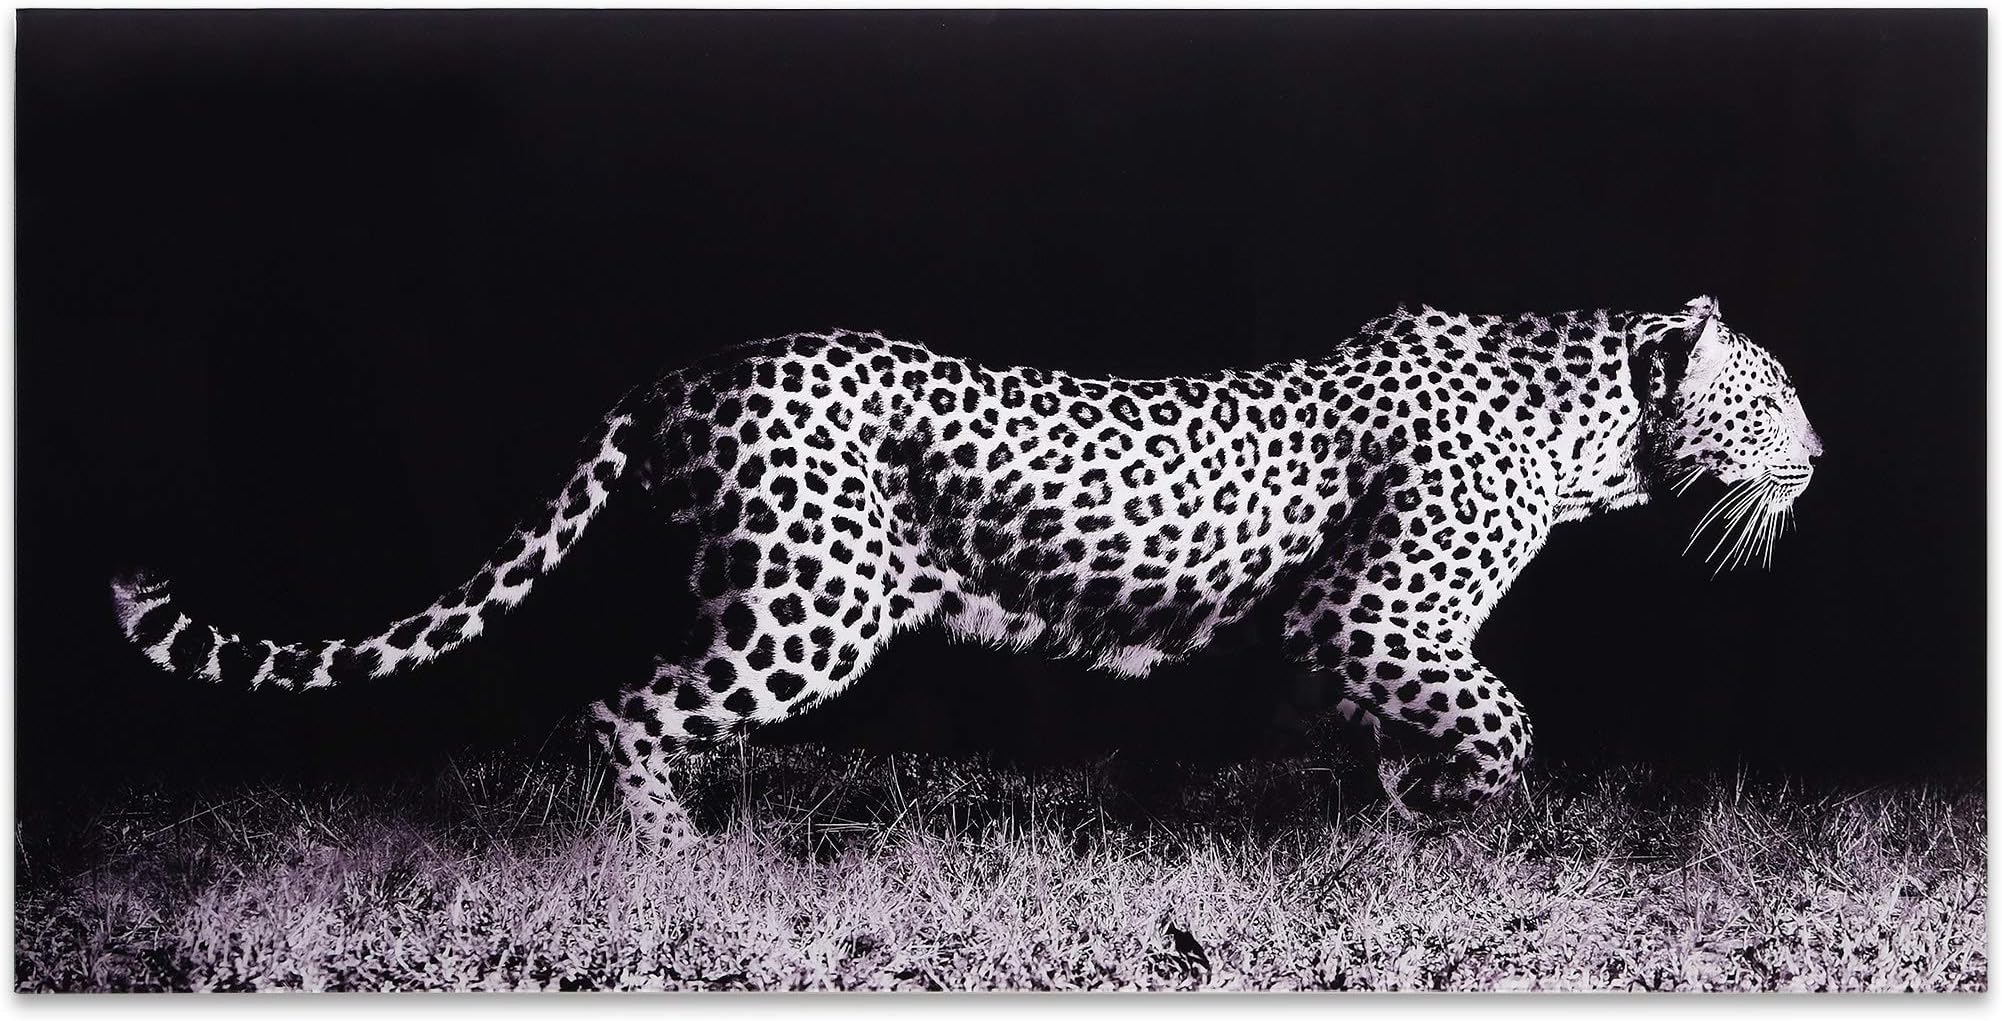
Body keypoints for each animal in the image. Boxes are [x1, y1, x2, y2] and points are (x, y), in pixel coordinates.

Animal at [111, 295, 1820, 849]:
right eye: (1776, 394)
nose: (1824, 451)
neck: (1593, 429)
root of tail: (680, 372)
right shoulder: (1369, 610)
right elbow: (1501, 716)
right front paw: (1461, 806)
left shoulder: (1333, 634)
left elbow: (1386, 727)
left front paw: (1399, 808)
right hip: (814, 603)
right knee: (623, 705)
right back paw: (678, 863)